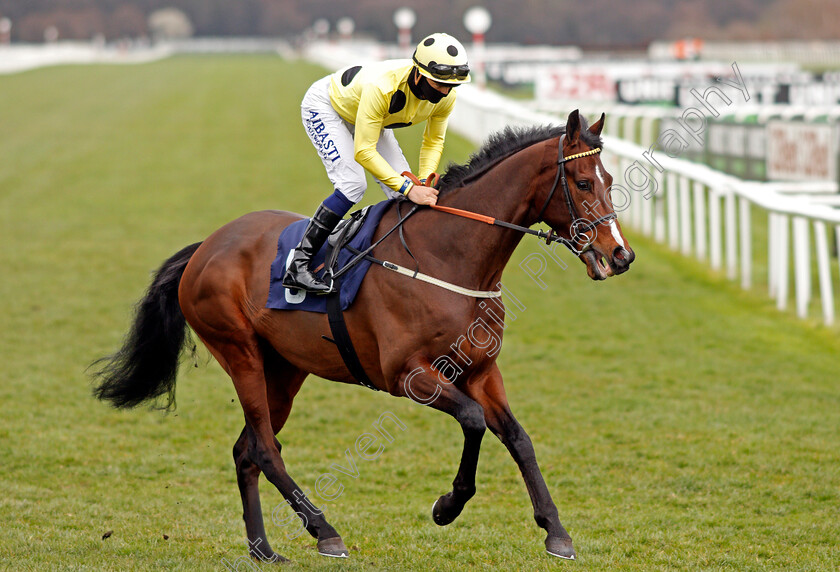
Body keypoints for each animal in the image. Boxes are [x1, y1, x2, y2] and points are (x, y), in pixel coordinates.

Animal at [92, 110, 632, 564]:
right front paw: (447, 506)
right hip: (239, 352)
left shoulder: (481, 369)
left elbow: (518, 438)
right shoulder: (407, 375)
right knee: (265, 449)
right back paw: (324, 532)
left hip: (284, 368)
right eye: (584, 182)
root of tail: (207, 245)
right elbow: (474, 420)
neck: (447, 256)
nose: (620, 255)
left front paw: (555, 531)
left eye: (609, 180)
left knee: (247, 450)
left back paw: (264, 549)